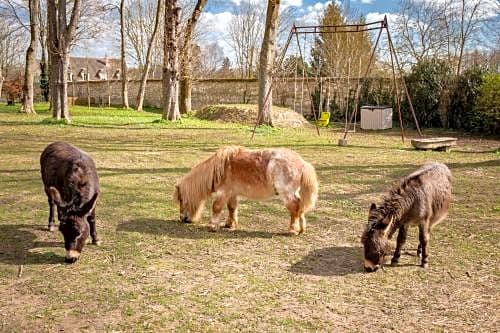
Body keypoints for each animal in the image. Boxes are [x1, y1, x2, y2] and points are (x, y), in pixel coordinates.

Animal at [174, 145, 318, 233]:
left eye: (181, 199)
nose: (182, 219)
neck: (220, 168)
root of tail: (302, 163)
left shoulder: (223, 192)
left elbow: (216, 207)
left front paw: (212, 226)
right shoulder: (232, 194)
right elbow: (232, 208)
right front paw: (229, 224)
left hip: (287, 194)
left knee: (294, 208)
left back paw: (292, 230)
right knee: (300, 207)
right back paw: (301, 229)